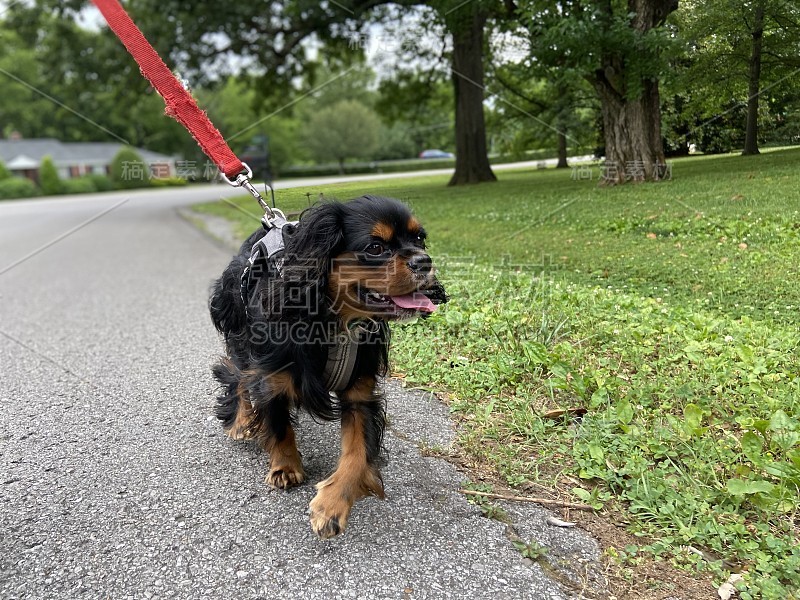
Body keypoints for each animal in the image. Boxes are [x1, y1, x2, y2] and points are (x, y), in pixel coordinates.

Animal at [209, 197, 446, 540]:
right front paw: (285, 467)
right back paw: (240, 421)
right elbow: (279, 425)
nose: (424, 261)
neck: (335, 321)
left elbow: (357, 453)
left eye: (419, 239)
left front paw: (332, 505)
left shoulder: (360, 394)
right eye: (375, 247)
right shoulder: (271, 377)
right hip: (241, 336)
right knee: (237, 375)